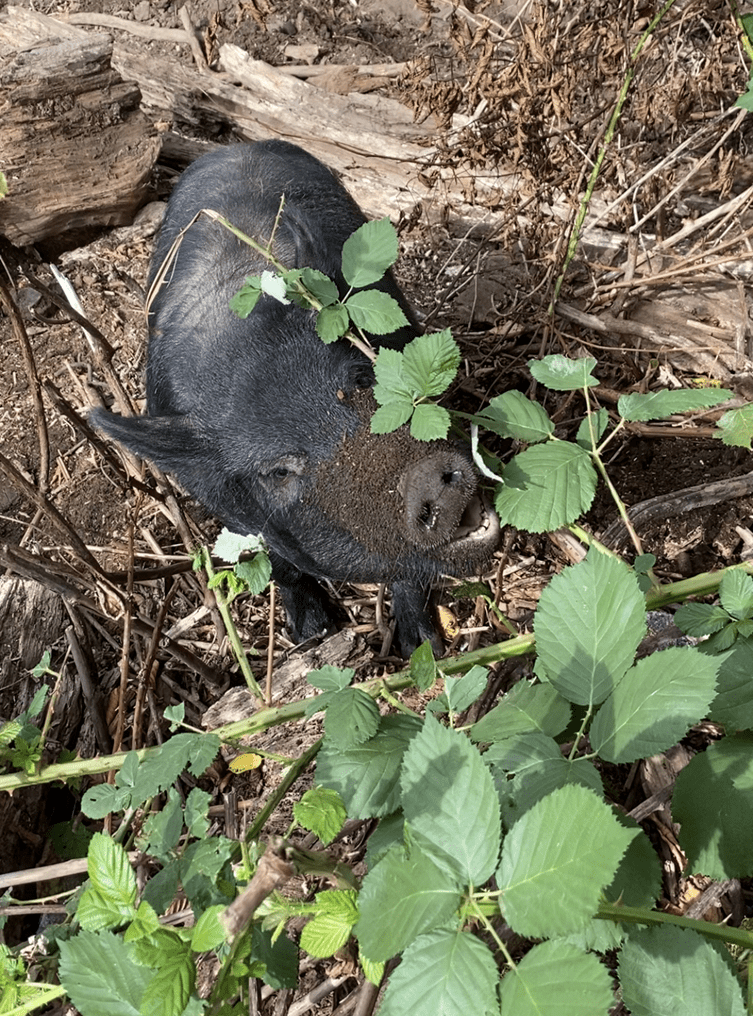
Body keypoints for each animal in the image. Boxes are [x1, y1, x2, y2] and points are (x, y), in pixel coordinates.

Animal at [92, 140, 500, 654]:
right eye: (279, 471)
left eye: (361, 377)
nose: (427, 479)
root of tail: (237, 145)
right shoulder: (222, 505)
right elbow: (278, 562)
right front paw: (312, 634)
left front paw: (422, 647)